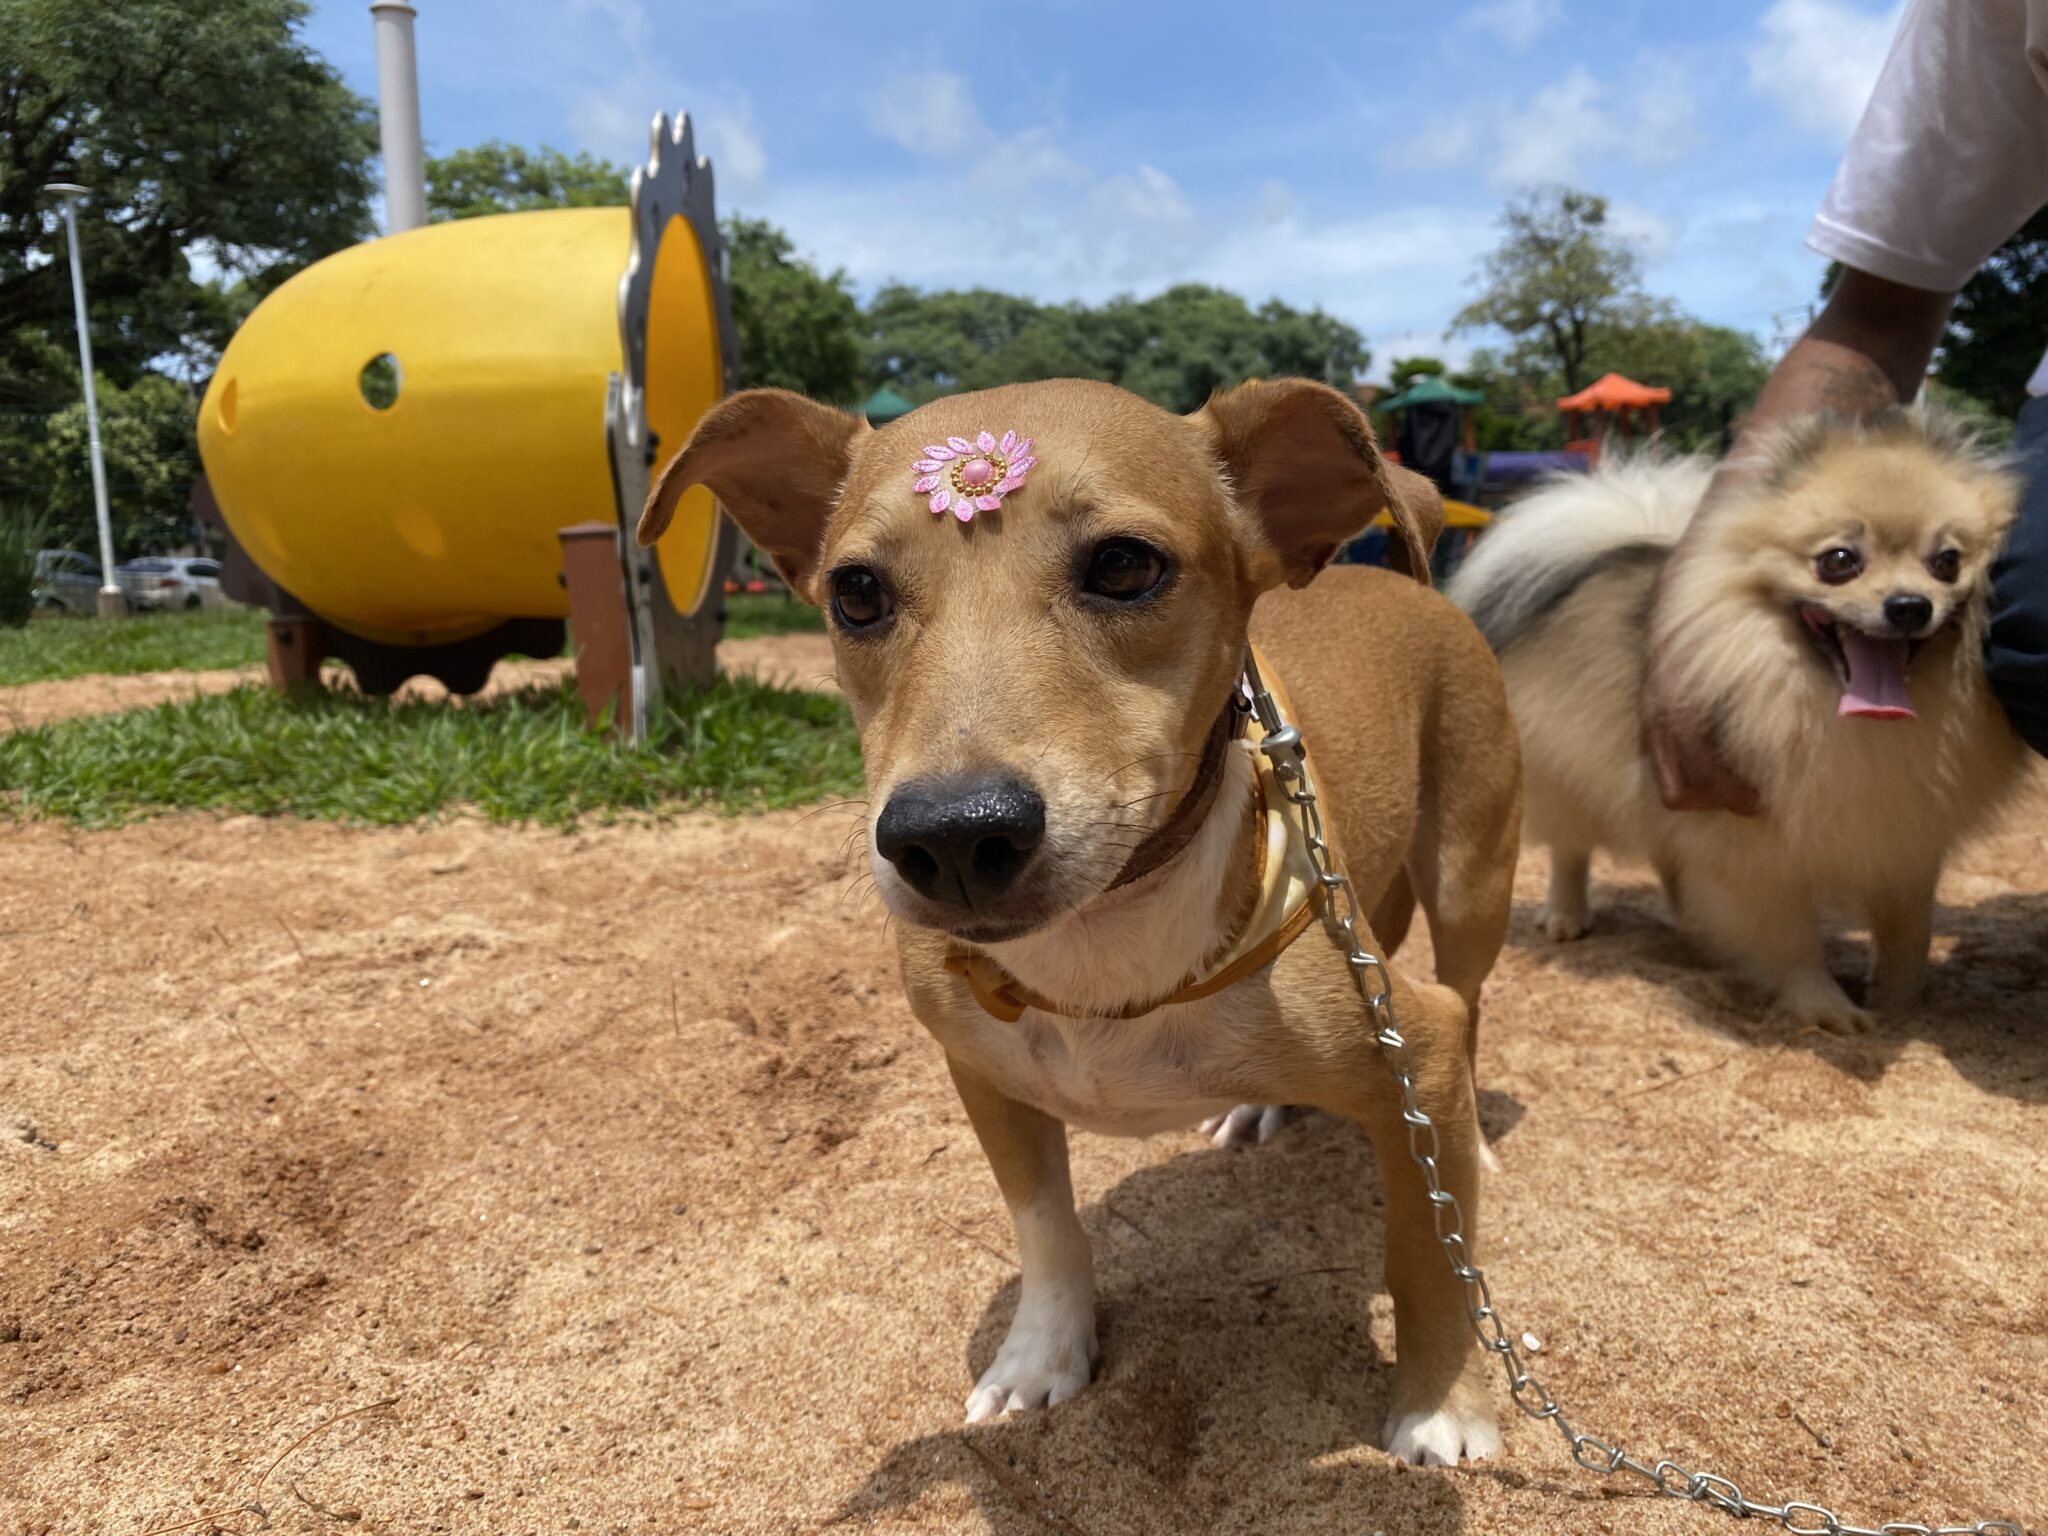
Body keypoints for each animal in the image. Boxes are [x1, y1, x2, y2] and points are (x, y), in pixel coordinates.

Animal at [647, 378, 1531, 1458]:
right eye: (855, 591)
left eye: (1123, 565)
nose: (951, 836)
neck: (1101, 941)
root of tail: (1409, 585)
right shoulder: (983, 1074)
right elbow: (1045, 1228)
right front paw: (1040, 1359)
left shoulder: (1417, 1043)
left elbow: (1430, 1259)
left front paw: (1443, 1406)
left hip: (1470, 877)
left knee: (1469, 998)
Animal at [1458, 411, 2031, 1036]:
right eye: (1839, 561)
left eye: (1946, 562)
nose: (1909, 606)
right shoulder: (1757, 848)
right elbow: (1794, 941)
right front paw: (1825, 1007)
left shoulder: (1905, 840)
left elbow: (1910, 933)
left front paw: (1901, 1002)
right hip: (1571, 771)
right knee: (1570, 847)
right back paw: (1566, 913)